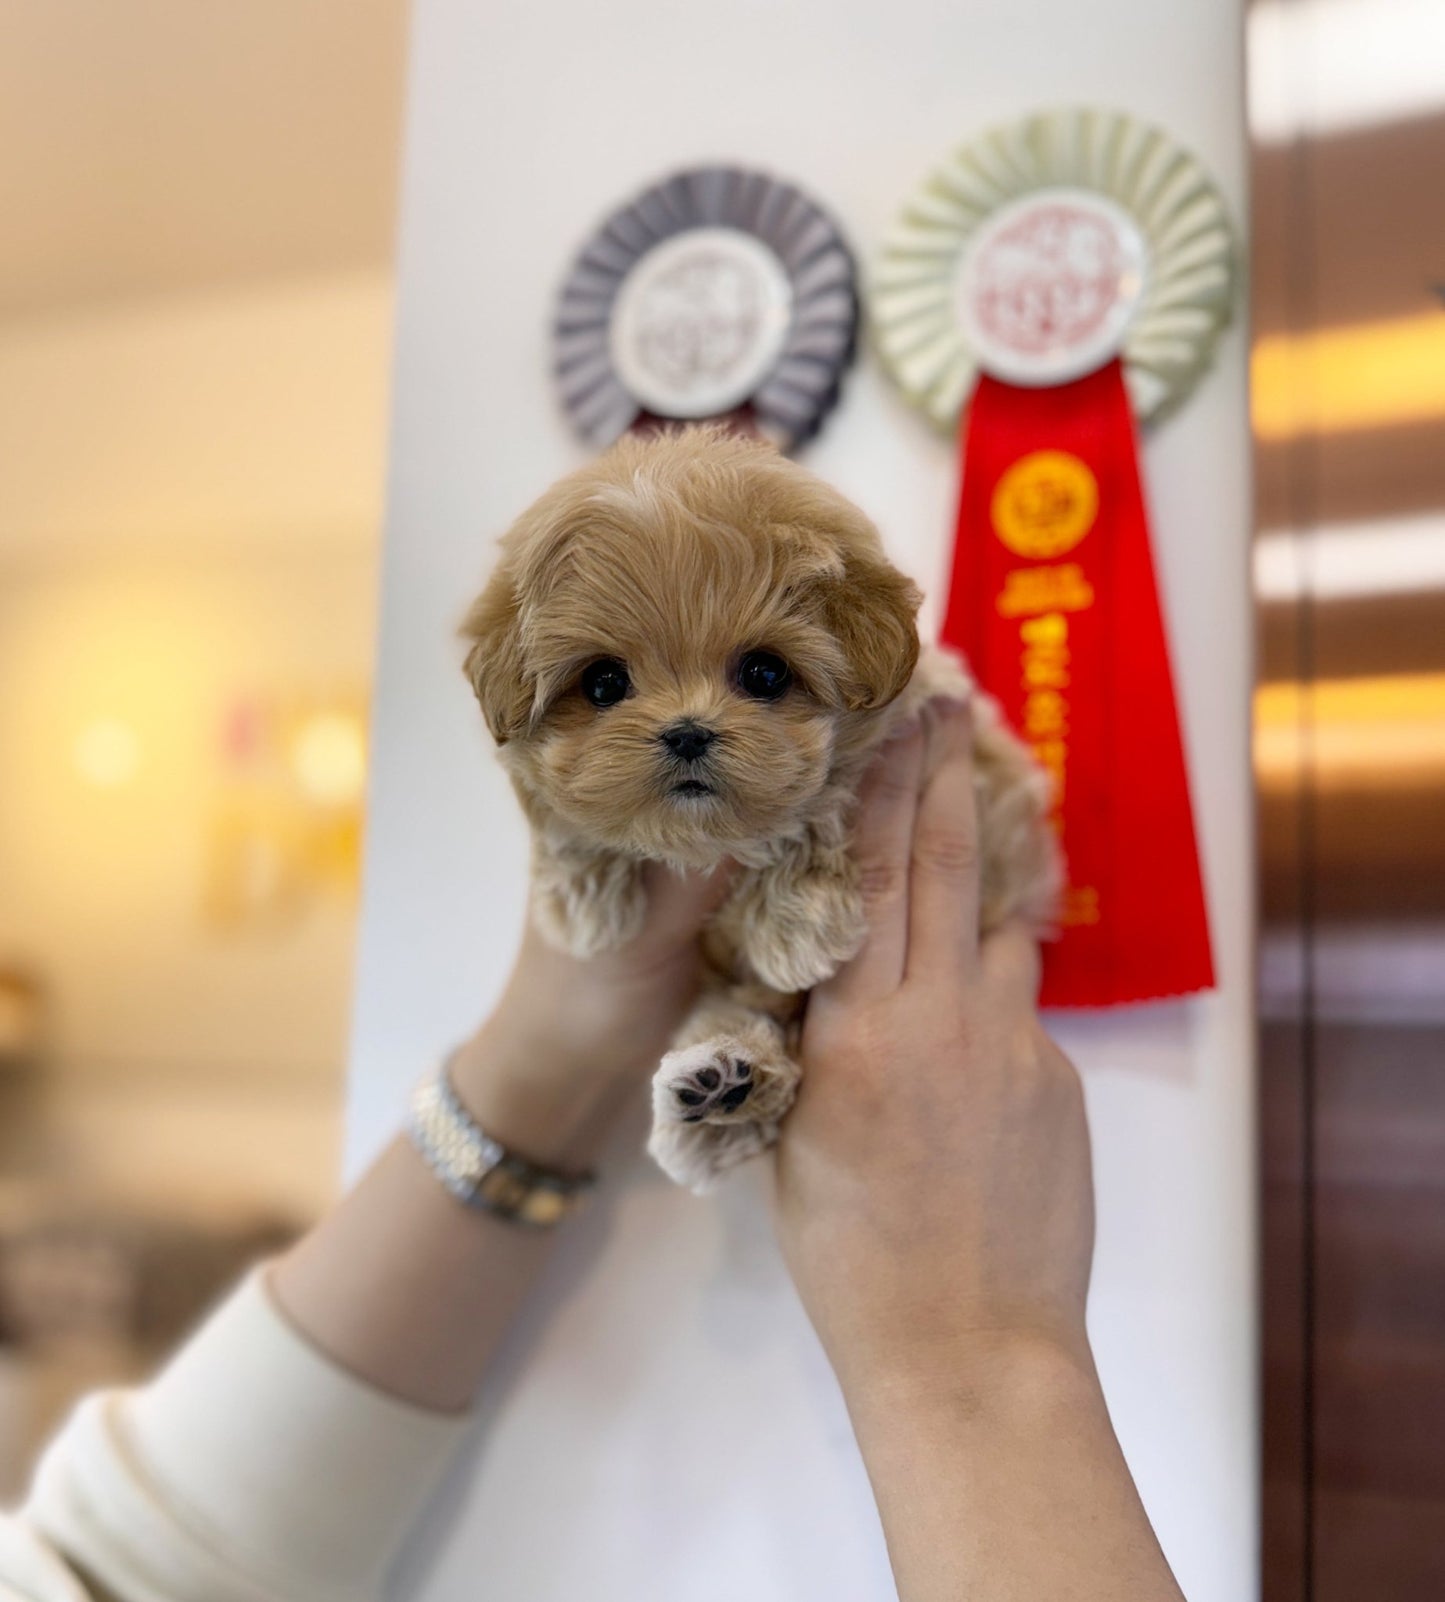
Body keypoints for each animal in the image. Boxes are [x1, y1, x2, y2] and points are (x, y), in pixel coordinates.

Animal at [464, 426, 1063, 1191]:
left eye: (765, 673)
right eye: (602, 683)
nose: (687, 731)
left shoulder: (932, 730)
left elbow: (818, 808)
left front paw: (794, 926)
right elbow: (564, 820)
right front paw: (586, 904)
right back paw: (718, 1091)